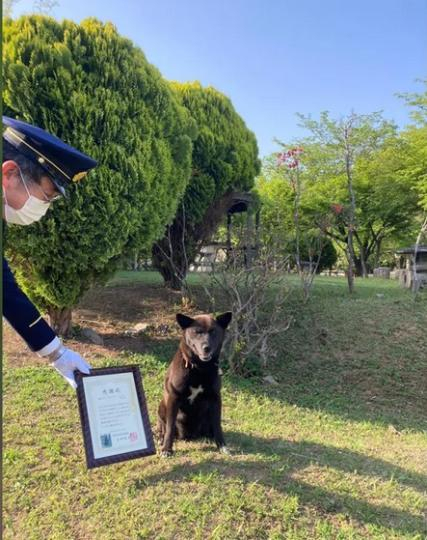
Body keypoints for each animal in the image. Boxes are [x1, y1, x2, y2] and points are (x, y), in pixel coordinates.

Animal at [158, 312, 232, 456]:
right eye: (197, 332)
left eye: (213, 332)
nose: (206, 347)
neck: (199, 368)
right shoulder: (174, 398)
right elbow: (170, 427)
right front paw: (167, 449)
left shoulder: (215, 398)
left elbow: (218, 425)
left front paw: (222, 446)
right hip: (162, 408)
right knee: (163, 426)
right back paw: (160, 438)